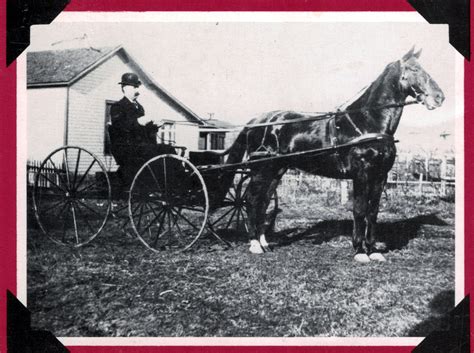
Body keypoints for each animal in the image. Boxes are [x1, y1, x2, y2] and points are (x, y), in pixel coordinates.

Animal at [222, 47, 444, 262]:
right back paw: (254, 245)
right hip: (261, 170)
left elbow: (373, 212)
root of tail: (255, 122)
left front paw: (373, 251)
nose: (439, 97)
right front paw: (360, 252)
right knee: (251, 200)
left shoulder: (381, 175)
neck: (368, 122)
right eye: (414, 69)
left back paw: (264, 243)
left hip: (276, 170)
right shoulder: (361, 173)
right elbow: (360, 209)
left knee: (264, 202)